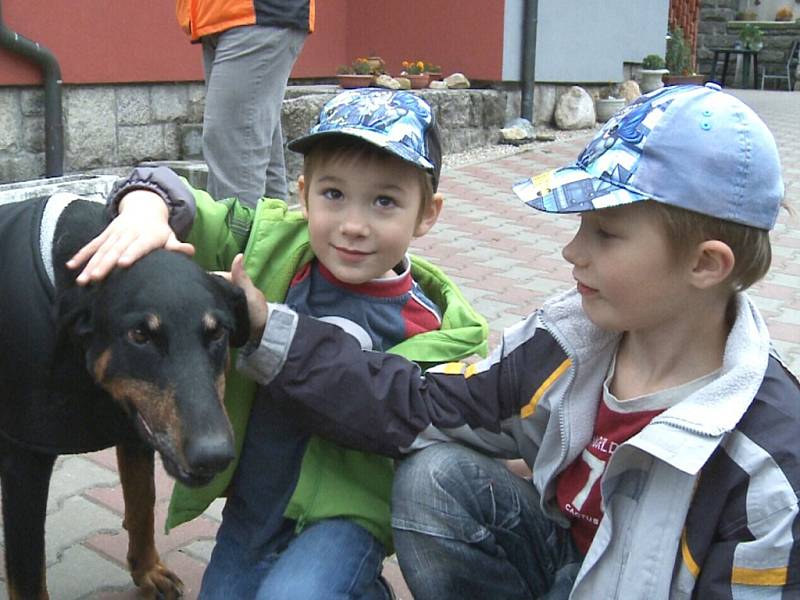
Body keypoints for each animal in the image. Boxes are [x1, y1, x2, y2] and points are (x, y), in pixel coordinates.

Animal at [0, 195, 248, 596]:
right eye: (139, 335)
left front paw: (146, 570)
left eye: (217, 333)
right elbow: (28, 571)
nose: (214, 455)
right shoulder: (25, 460)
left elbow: (142, 500)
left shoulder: (133, 425)